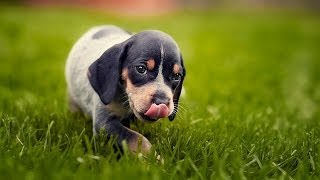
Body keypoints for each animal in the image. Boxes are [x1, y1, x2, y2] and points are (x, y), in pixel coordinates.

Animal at [65, 25, 185, 154]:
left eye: (177, 76)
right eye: (141, 69)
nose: (161, 102)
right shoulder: (103, 122)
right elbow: (136, 138)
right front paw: (153, 156)